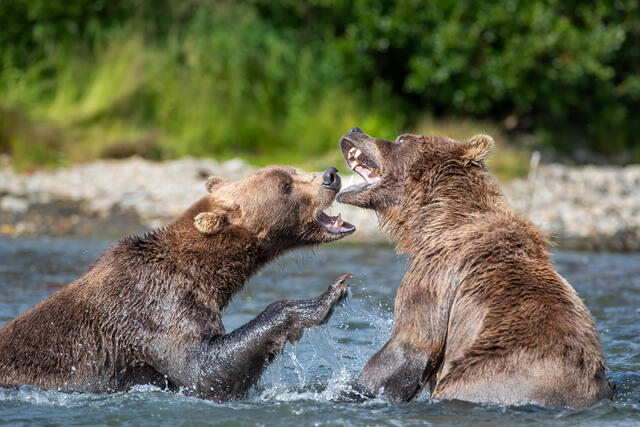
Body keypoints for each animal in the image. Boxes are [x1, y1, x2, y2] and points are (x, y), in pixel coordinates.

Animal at [0, 165, 356, 401]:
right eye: (286, 185)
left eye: (294, 170)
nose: (331, 175)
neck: (205, 273)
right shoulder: (153, 307)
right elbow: (202, 370)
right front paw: (323, 299)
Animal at [336, 127, 613, 407]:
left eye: (402, 138)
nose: (355, 130)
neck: (432, 219)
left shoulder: (437, 273)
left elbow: (411, 342)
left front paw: (347, 393)